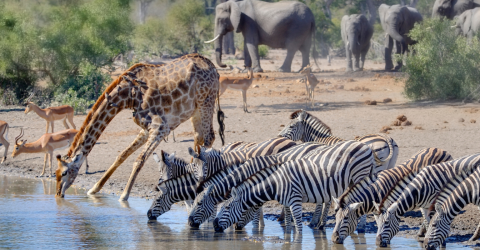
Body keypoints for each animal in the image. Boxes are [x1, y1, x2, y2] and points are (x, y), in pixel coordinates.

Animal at [54, 54, 225, 201]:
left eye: (64, 173)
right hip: (195, 109)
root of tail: (213, 68)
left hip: (206, 100)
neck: (127, 96)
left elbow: (139, 160)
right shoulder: (146, 128)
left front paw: (124, 196)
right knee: (199, 137)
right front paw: (94, 189)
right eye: (55, 173)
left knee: (209, 136)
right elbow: (122, 155)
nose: (57, 194)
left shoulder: (160, 127)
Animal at [213, 142, 376, 233]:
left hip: (360, 175)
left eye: (226, 208)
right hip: (352, 180)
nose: (214, 225)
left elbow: (298, 227)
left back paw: (361, 228)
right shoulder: (286, 202)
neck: (276, 184)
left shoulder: (295, 200)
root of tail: (366, 146)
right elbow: (288, 223)